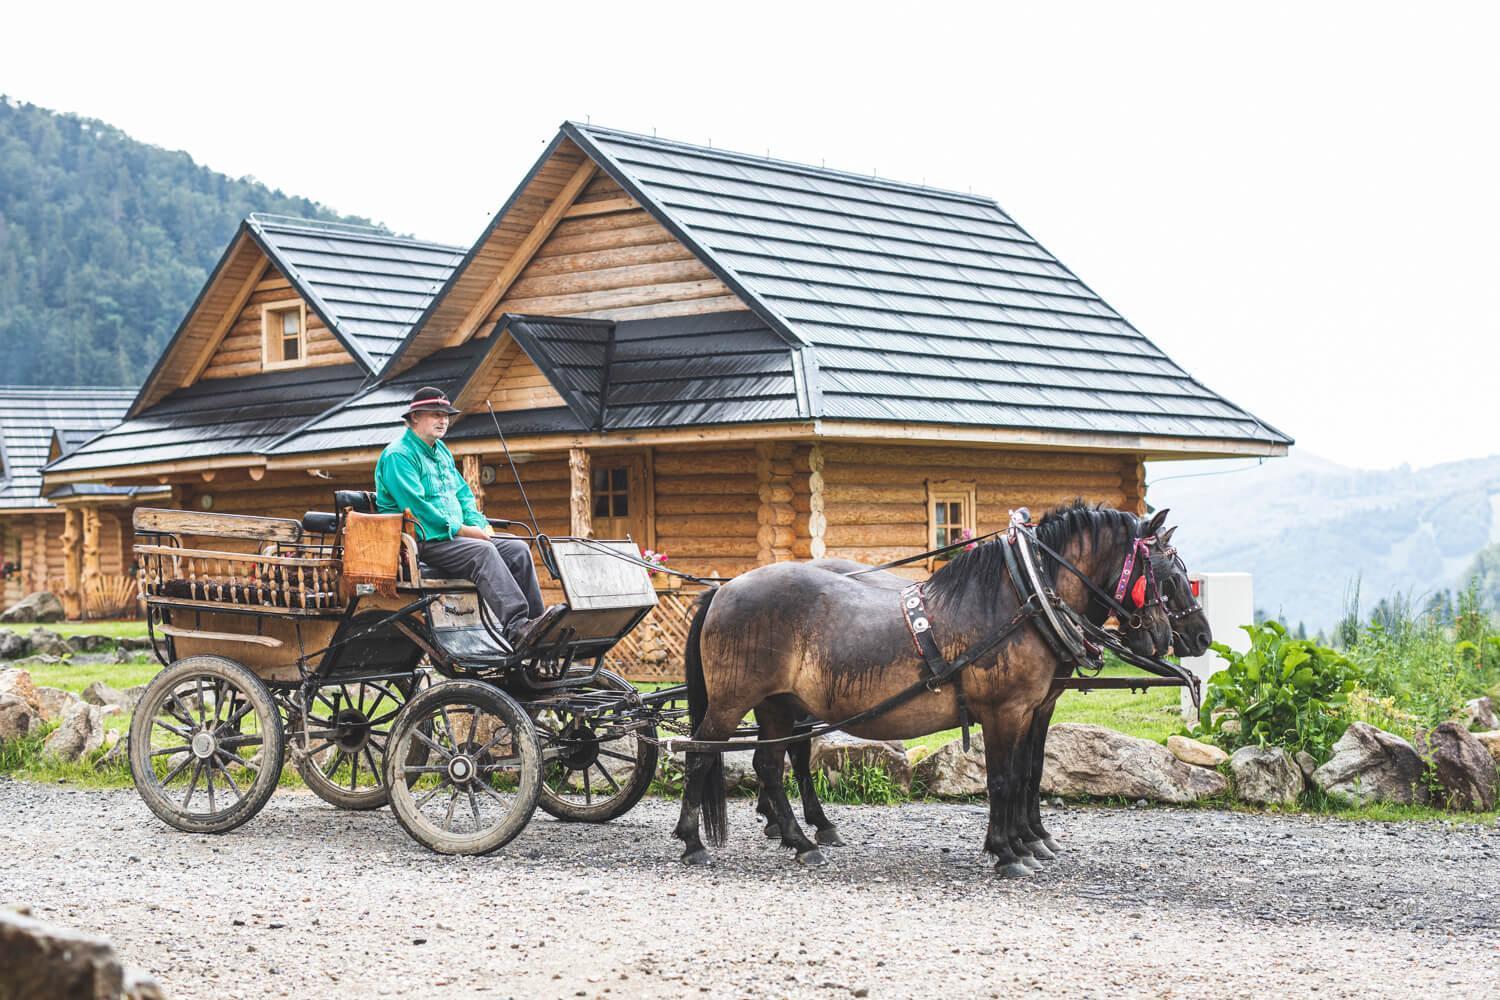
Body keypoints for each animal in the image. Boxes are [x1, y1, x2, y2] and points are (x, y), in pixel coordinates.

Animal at [675, 503, 1200, 869]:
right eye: (1165, 575)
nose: (1184, 637)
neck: (1024, 598)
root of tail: (723, 589)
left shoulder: (1031, 709)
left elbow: (1025, 774)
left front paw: (1027, 841)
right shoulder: (1004, 710)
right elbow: (1004, 778)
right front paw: (1008, 851)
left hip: (777, 703)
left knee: (769, 763)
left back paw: (801, 841)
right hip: (732, 700)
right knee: (700, 754)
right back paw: (693, 841)